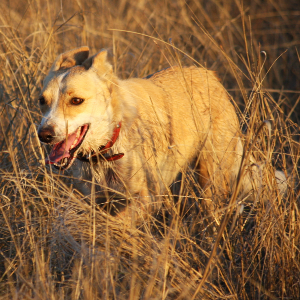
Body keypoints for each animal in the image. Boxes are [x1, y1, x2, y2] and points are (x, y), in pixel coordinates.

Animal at [37, 46, 286, 216]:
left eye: (76, 101)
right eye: (42, 101)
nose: (44, 135)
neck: (109, 145)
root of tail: (211, 76)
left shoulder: (146, 199)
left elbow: (118, 224)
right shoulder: (97, 200)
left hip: (212, 179)